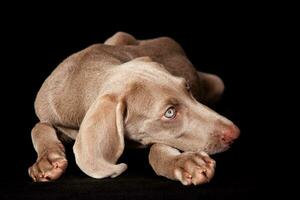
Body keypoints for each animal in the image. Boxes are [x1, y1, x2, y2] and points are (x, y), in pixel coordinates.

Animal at [28, 32, 239, 185]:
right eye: (169, 113)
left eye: (187, 89)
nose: (235, 134)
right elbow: (38, 126)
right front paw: (46, 162)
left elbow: (158, 146)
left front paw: (186, 163)